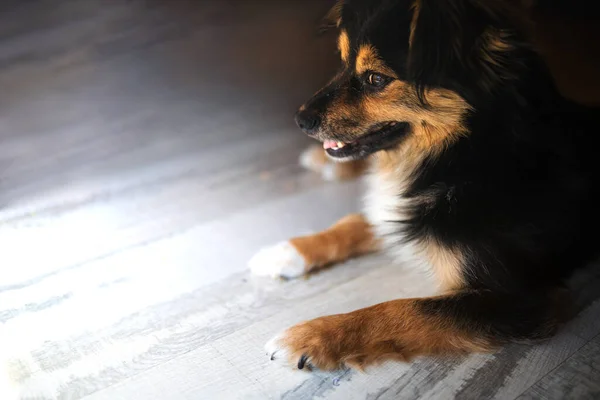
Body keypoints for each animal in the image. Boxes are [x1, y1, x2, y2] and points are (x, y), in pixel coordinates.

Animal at [247, 0, 596, 372]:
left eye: (376, 79)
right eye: (342, 63)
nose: (300, 120)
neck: (461, 154)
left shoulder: (517, 300)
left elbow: (402, 309)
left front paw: (312, 335)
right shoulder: (403, 213)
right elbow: (353, 222)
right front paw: (287, 251)